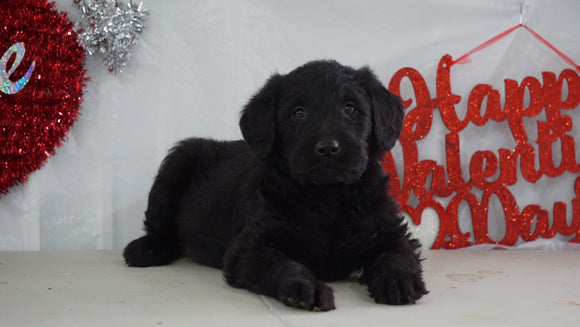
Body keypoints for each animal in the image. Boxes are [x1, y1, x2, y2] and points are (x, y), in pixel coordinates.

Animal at [124, 60, 426, 312]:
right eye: (298, 113)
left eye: (350, 108)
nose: (328, 148)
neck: (328, 197)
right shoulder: (248, 247)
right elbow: (281, 262)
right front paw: (306, 287)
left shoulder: (391, 231)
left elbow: (397, 255)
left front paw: (398, 281)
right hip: (178, 161)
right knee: (161, 226)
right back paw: (146, 249)